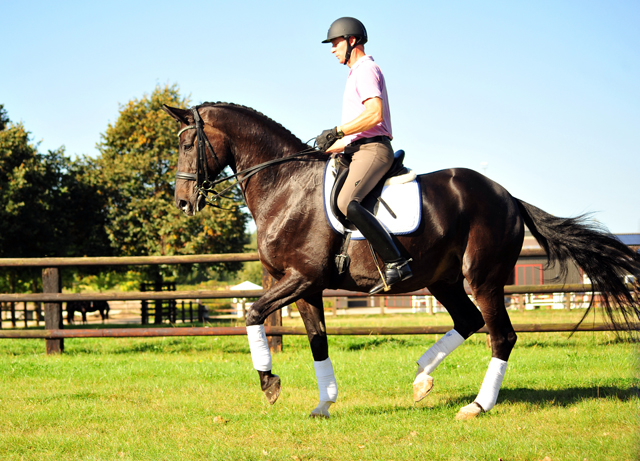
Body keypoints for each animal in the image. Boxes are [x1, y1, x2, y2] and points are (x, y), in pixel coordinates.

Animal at [164, 102, 640, 418]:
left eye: (188, 144)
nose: (183, 202)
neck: (285, 185)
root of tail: (507, 196)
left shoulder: (301, 277)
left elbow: (253, 314)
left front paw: (269, 384)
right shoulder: (304, 287)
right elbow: (317, 341)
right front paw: (324, 404)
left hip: (481, 278)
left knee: (500, 336)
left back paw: (477, 405)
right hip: (442, 279)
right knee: (468, 321)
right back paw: (422, 377)